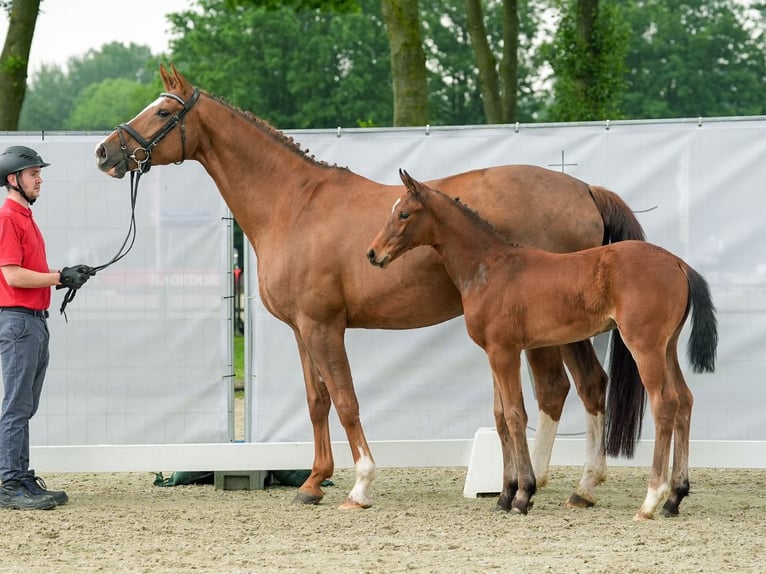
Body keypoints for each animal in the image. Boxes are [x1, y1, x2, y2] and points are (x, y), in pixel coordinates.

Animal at [96, 65, 648, 510]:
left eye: (164, 110)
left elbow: (345, 400)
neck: (294, 204)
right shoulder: (302, 330)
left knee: (559, 389)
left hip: (550, 330)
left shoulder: (324, 326)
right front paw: (313, 483)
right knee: (589, 386)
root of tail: (583, 189)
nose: (105, 151)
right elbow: (317, 401)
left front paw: (360, 484)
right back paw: (577, 486)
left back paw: (542, 484)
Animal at [368, 171, 716, 520]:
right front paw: (505, 495)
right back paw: (675, 497)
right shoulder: (493, 353)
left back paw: (650, 501)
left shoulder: (505, 352)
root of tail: (678, 263)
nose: (373, 254)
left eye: (403, 213)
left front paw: (523, 494)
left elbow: (515, 415)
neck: (490, 267)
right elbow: (499, 417)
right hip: (667, 347)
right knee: (684, 400)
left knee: (664, 404)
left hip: (644, 346)